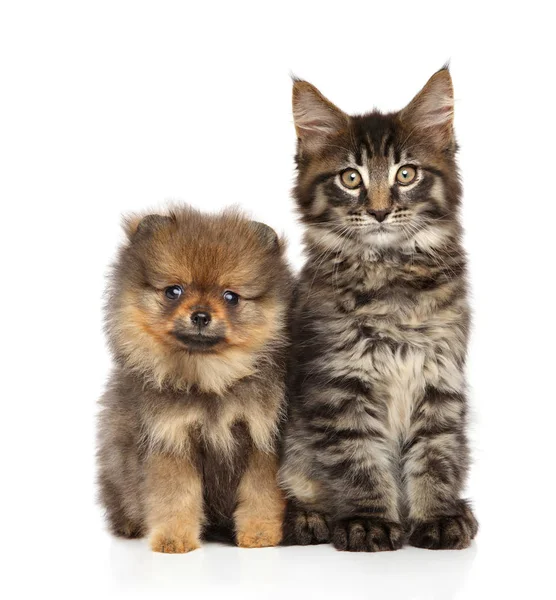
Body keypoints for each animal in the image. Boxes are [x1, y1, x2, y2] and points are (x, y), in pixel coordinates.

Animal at [96, 205, 294, 552]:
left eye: (231, 297)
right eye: (174, 291)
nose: (201, 315)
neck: (210, 378)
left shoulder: (261, 437)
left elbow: (260, 493)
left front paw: (259, 534)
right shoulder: (171, 438)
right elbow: (175, 496)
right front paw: (174, 540)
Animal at [280, 68, 480, 552]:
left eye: (405, 173)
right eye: (350, 179)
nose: (380, 211)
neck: (390, 275)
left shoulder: (439, 379)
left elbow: (436, 457)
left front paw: (439, 516)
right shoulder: (340, 384)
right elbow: (359, 460)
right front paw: (369, 522)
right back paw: (309, 517)